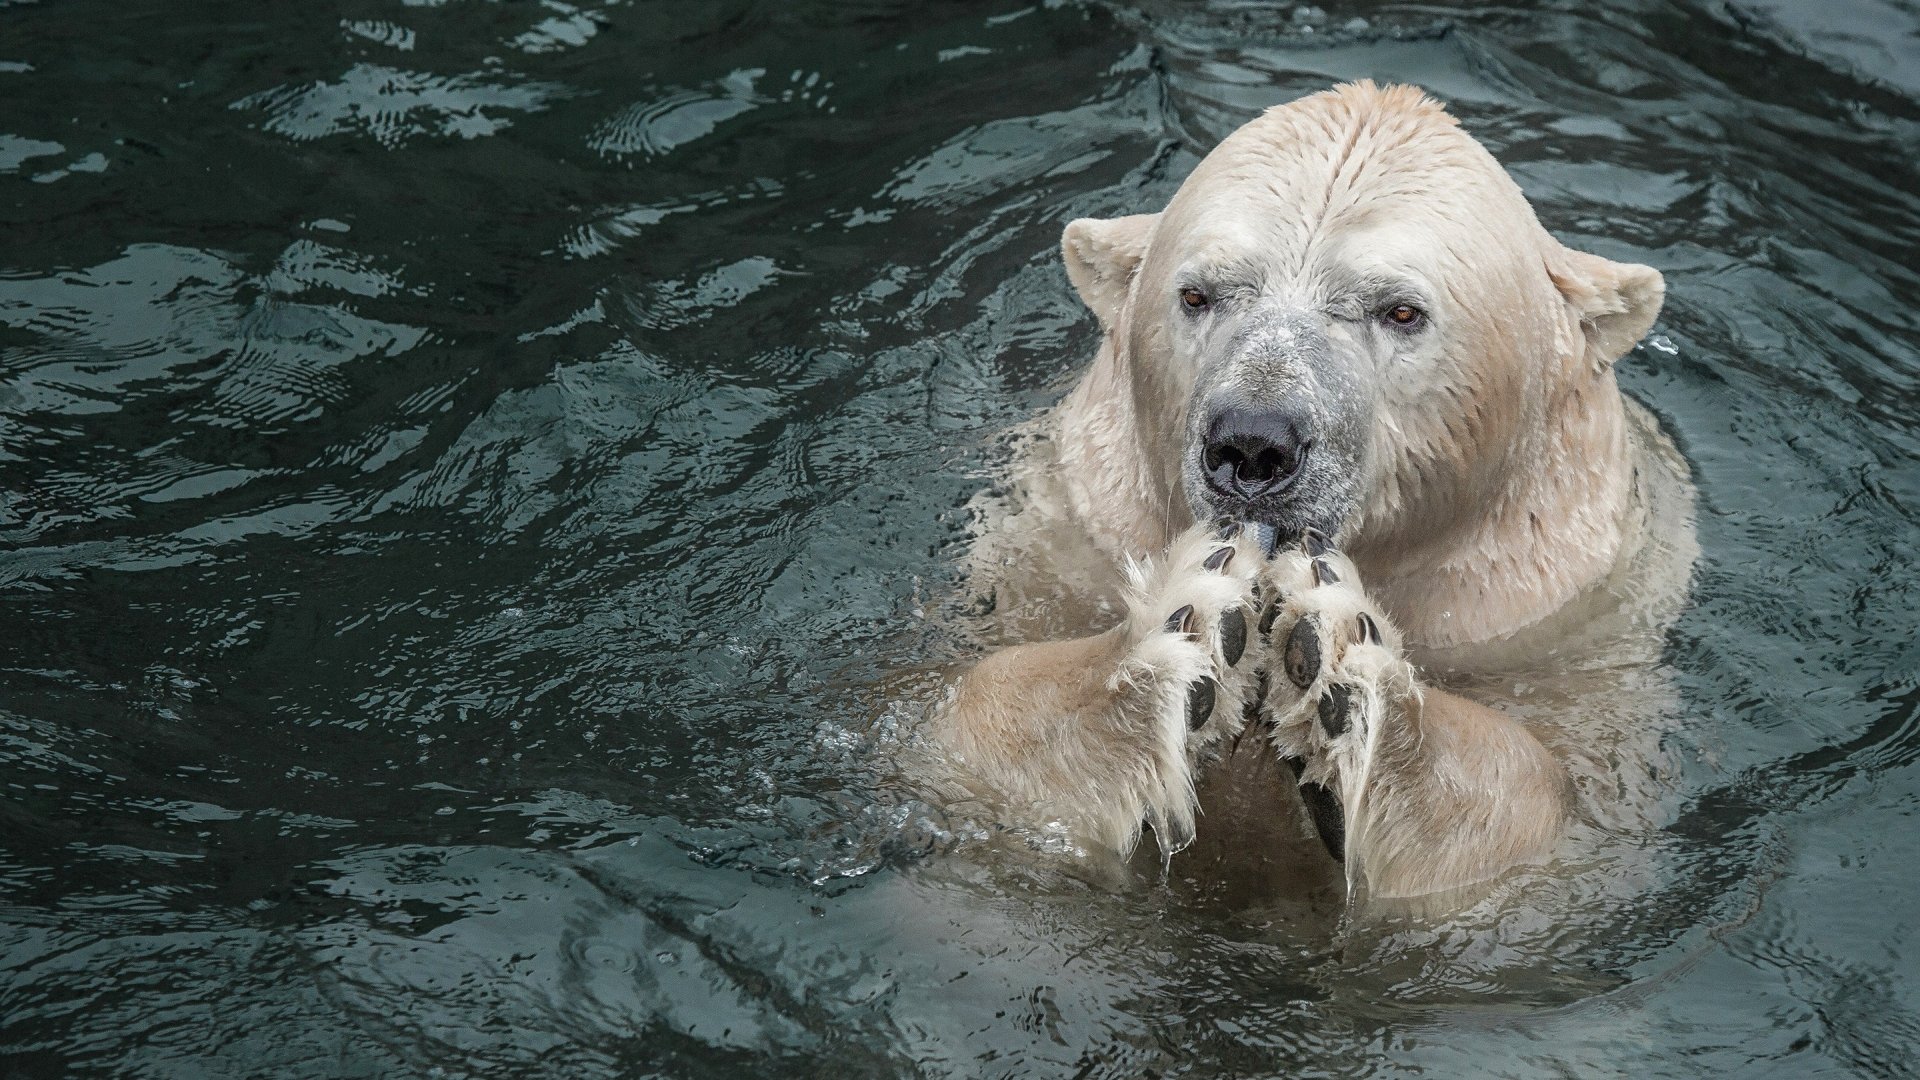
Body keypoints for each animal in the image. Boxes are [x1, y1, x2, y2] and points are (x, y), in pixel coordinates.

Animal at [913, 79, 1697, 899]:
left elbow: (1537, 799)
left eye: (1401, 310)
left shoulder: (1573, 629)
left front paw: (1340, 665)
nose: (1252, 445)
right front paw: (1183, 627)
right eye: (1197, 295)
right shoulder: (1057, 546)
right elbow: (969, 718)